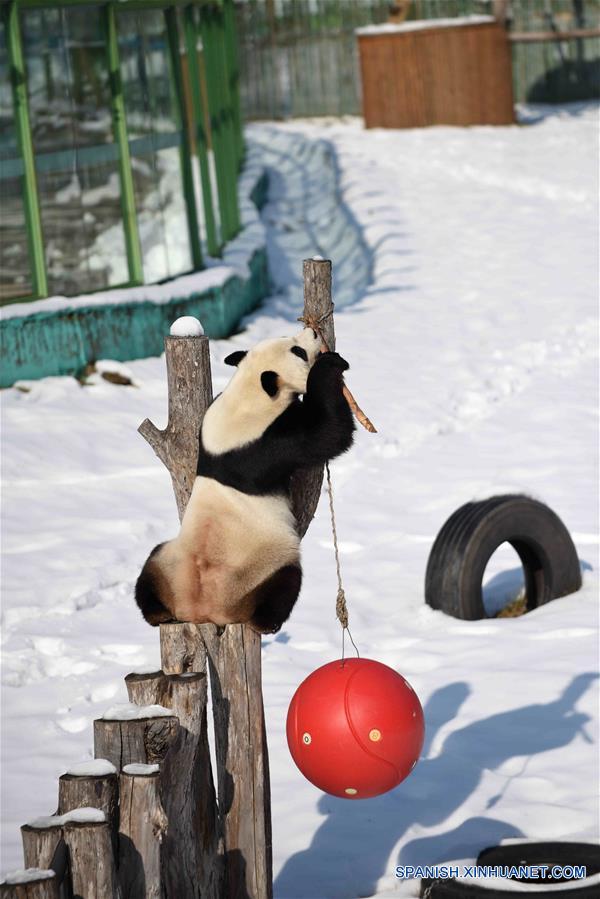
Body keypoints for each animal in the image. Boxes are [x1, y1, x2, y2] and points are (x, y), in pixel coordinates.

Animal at [134, 328, 354, 632]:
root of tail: (201, 610)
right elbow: (329, 433)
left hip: (168, 562)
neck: (247, 395)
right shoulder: (270, 442)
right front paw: (330, 365)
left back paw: (158, 613)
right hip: (263, 566)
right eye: (297, 351)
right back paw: (266, 622)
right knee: (285, 582)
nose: (312, 332)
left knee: (147, 576)